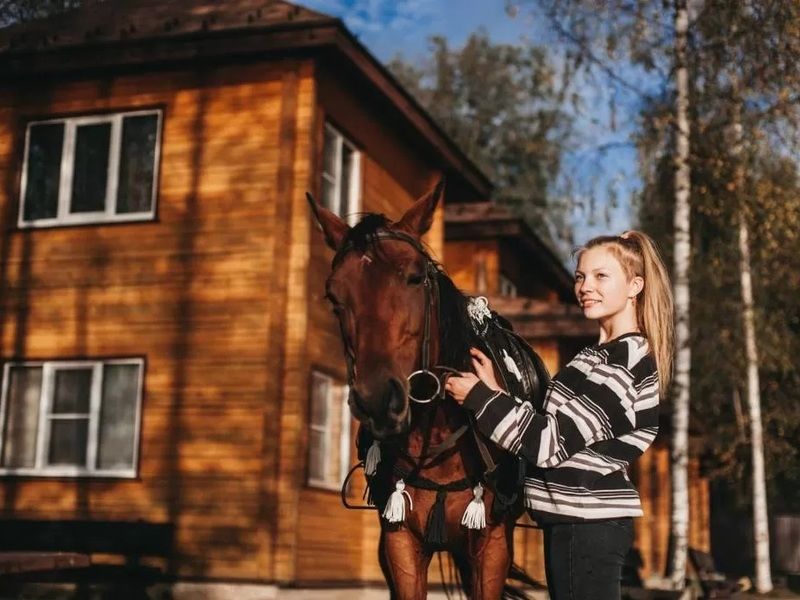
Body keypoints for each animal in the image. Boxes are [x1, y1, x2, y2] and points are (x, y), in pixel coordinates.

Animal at [306, 183, 544, 600]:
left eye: (415, 278)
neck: (439, 441)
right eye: (334, 297)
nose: (377, 400)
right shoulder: (399, 539)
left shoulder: (492, 545)